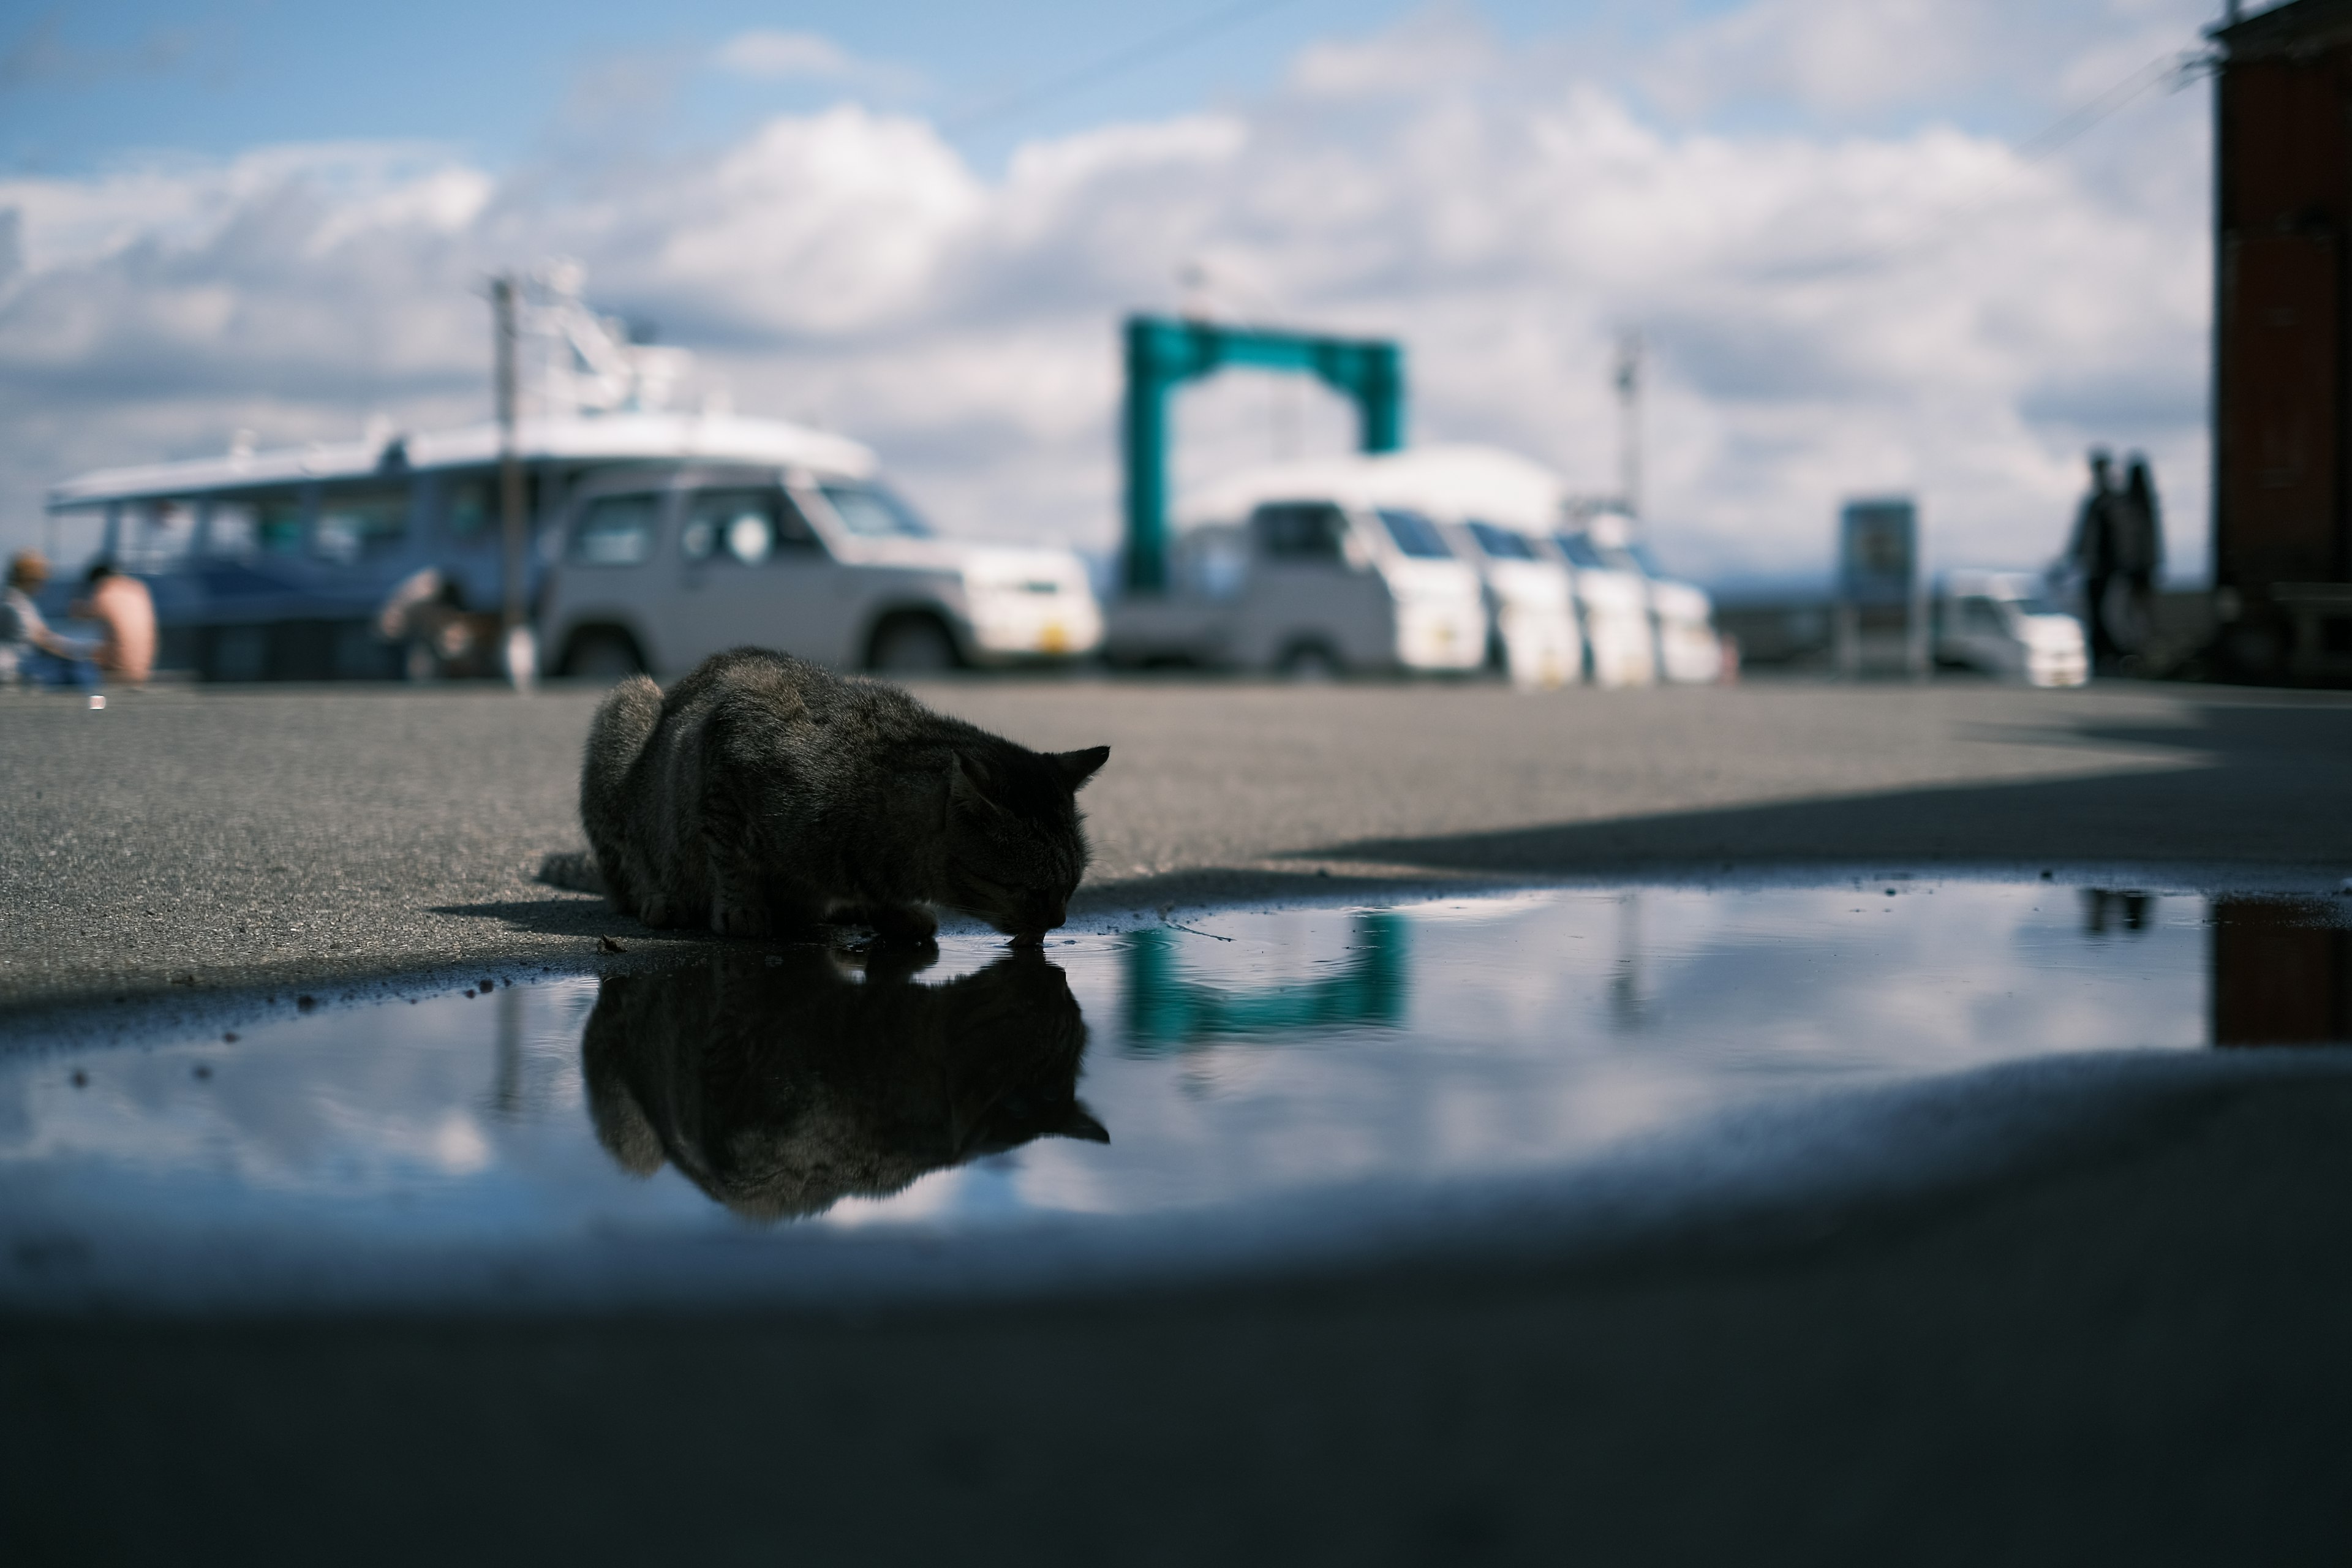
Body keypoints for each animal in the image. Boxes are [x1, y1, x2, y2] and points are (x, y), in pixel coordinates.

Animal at [564, 649, 1105, 944]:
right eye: (1032, 891)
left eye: (1072, 887)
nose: (1060, 920)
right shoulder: (729, 740)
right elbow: (730, 856)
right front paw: (742, 907)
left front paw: (889, 910)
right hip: (626, 708)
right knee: (627, 859)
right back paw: (660, 898)